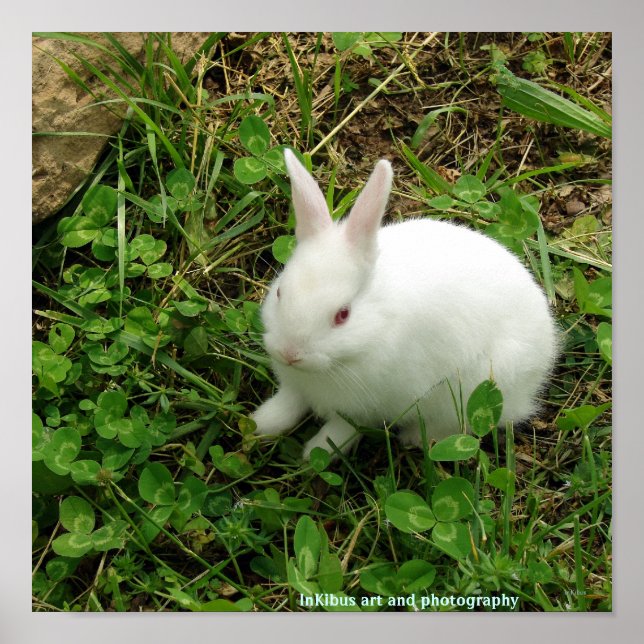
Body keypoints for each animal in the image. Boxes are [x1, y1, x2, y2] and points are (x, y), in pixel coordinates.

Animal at [251, 149, 558, 459]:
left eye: (343, 315)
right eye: (280, 293)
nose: (289, 353)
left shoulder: (369, 406)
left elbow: (342, 429)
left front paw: (317, 452)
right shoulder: (295, 386)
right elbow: (288, 404)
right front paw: (261, 424)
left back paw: (414, 438)